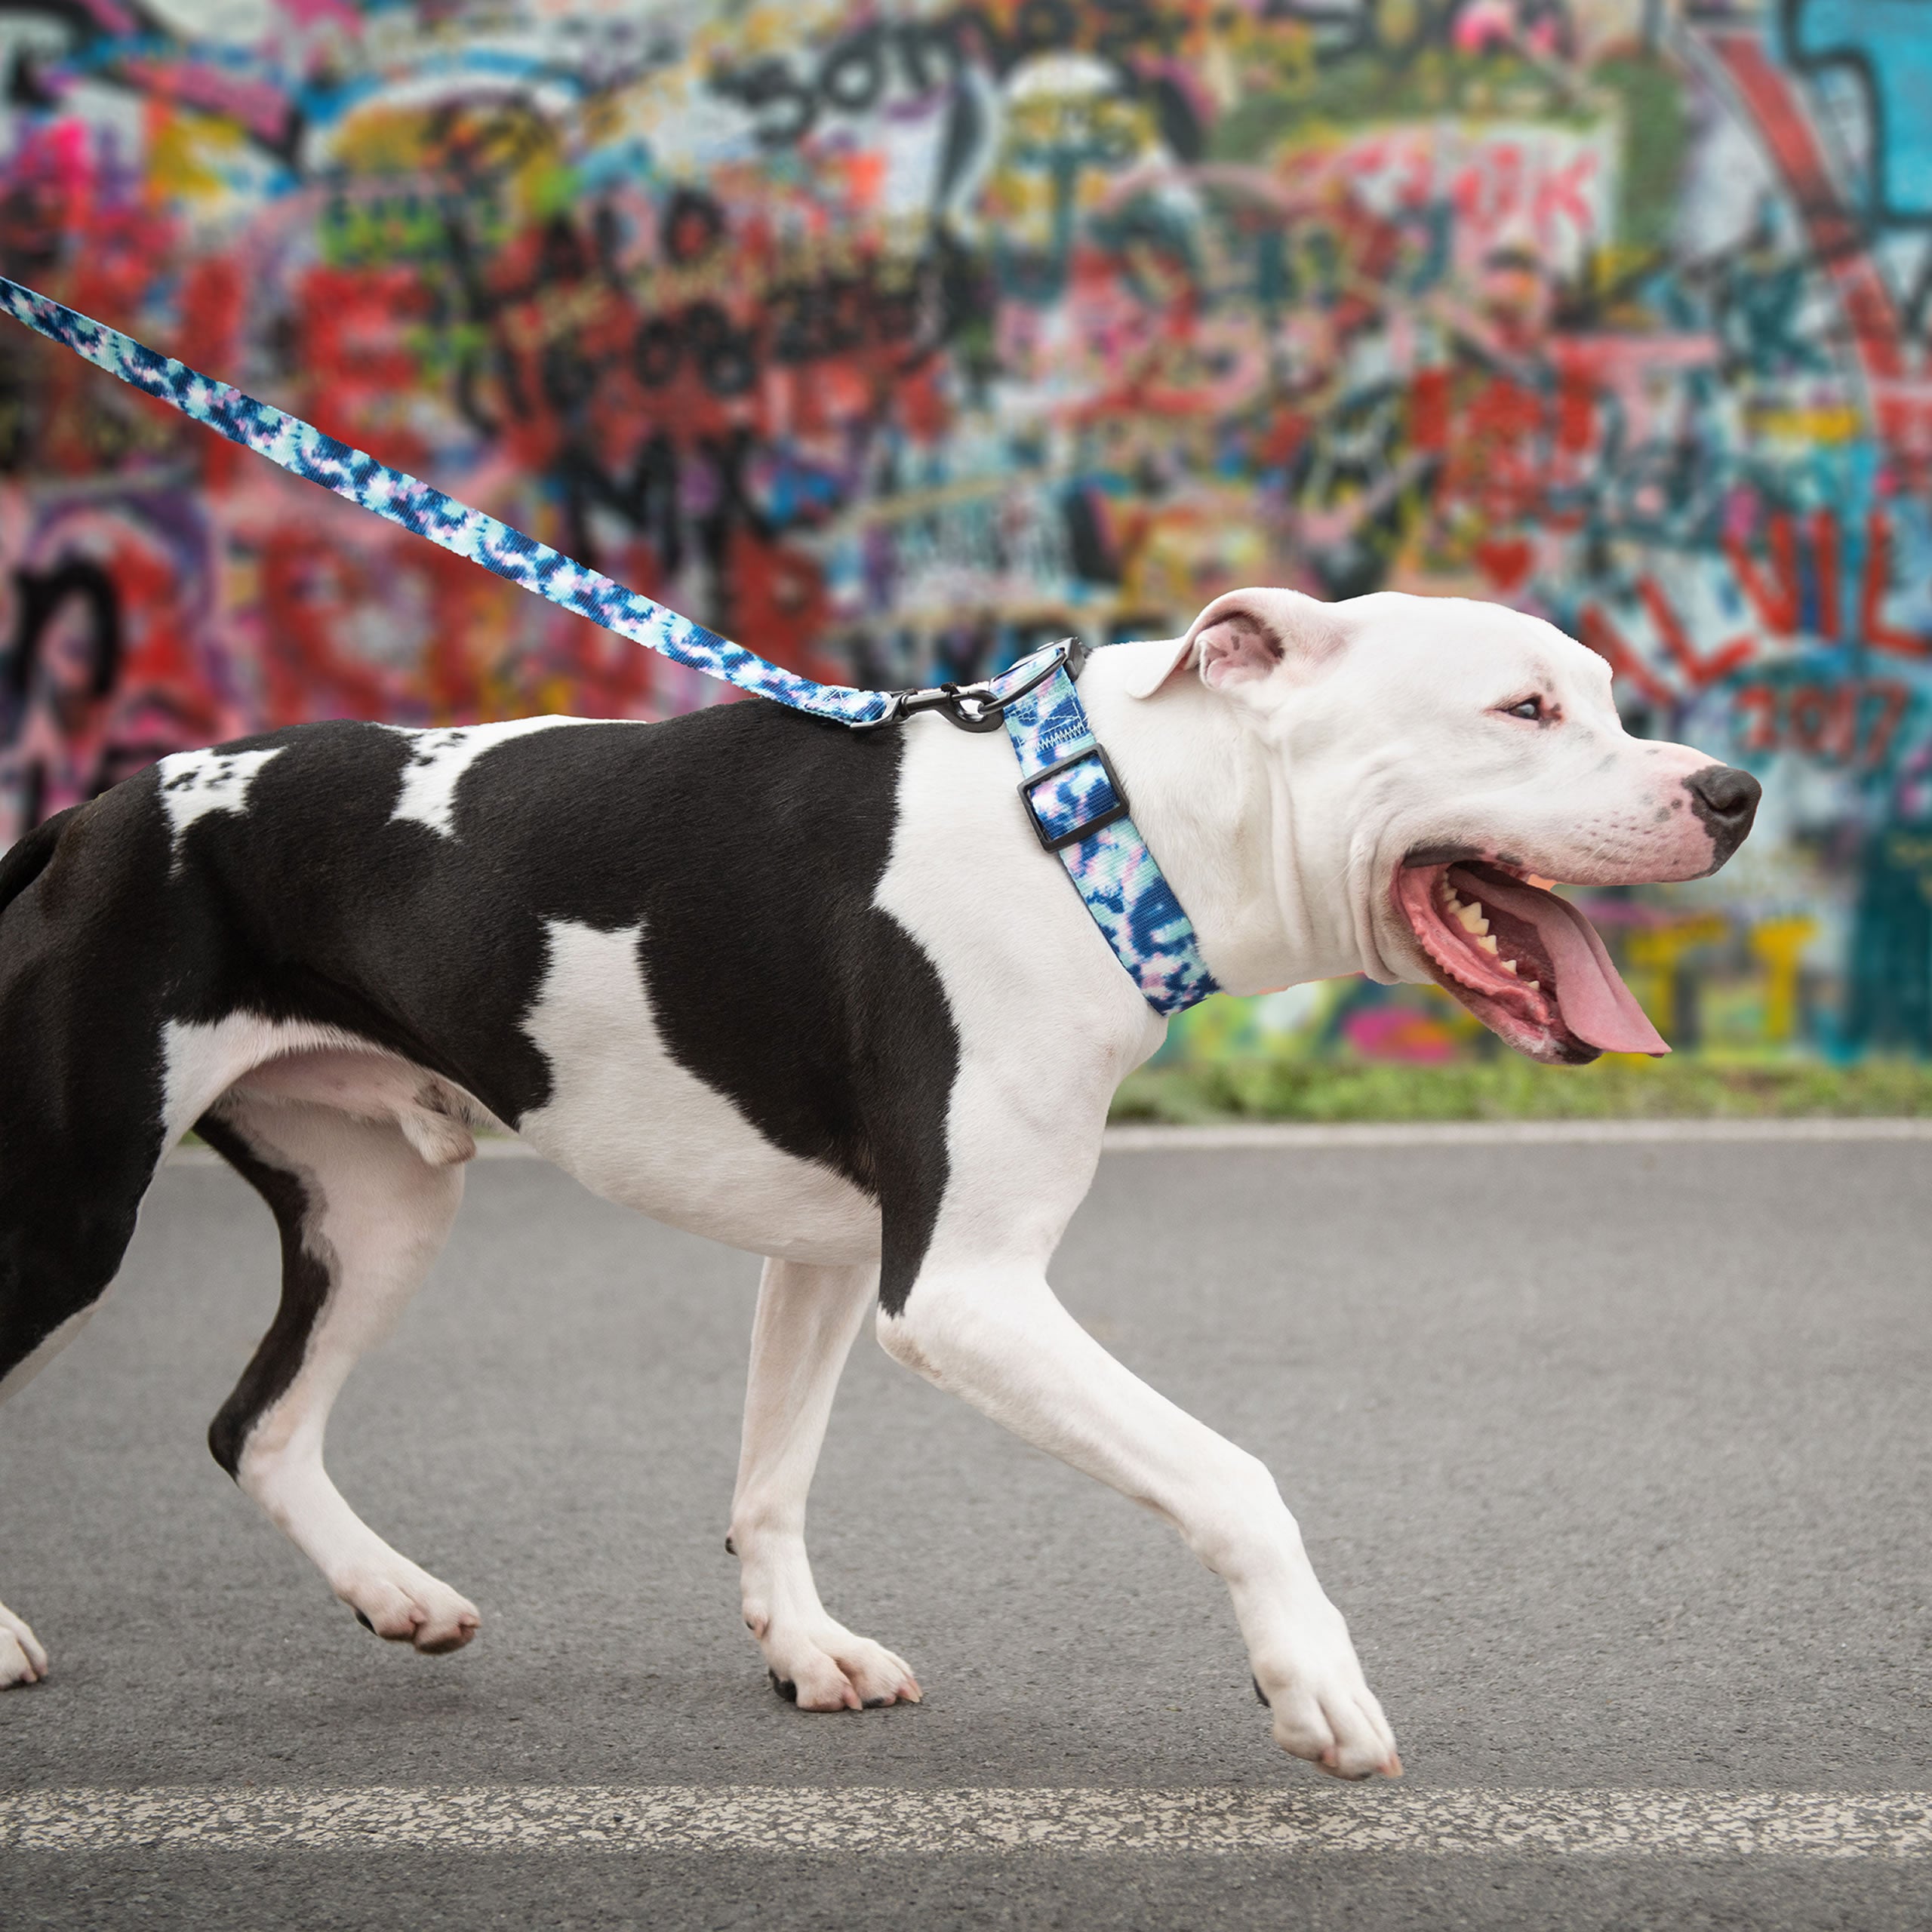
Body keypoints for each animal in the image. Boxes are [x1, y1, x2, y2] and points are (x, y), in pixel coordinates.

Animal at [0, 587, 1754, 1777]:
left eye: (1604, 700)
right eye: (1521, 709)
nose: (1730, 791)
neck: (1094, 825)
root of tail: (94, 804)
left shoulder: (835, 1253)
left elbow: (771, 1480)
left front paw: (805, 1651)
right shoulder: (964, 1290)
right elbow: (1234, 1473)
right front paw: (1310, 1680)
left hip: (380, 1204)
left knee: (260, 1424)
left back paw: (398, 1594)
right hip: (69, 1210)